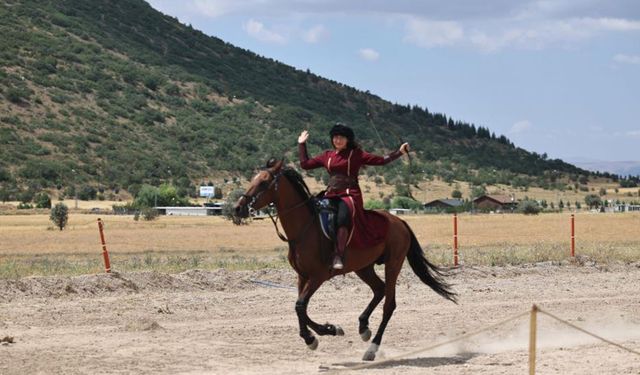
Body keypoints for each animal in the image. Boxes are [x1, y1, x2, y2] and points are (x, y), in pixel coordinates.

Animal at [234, 159, 456, 362]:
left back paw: (371, 348)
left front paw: (326, 331)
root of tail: (399, 221)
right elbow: (299, 308)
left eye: (263, 182)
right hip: (364, 267)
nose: (238, 208)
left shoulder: (318, 276)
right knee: (379, 289)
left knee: (389, 304)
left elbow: (300, 306)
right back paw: (363, 326)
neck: (305, 228)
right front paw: (316, 336)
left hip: (393, 264)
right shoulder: (302, 276)